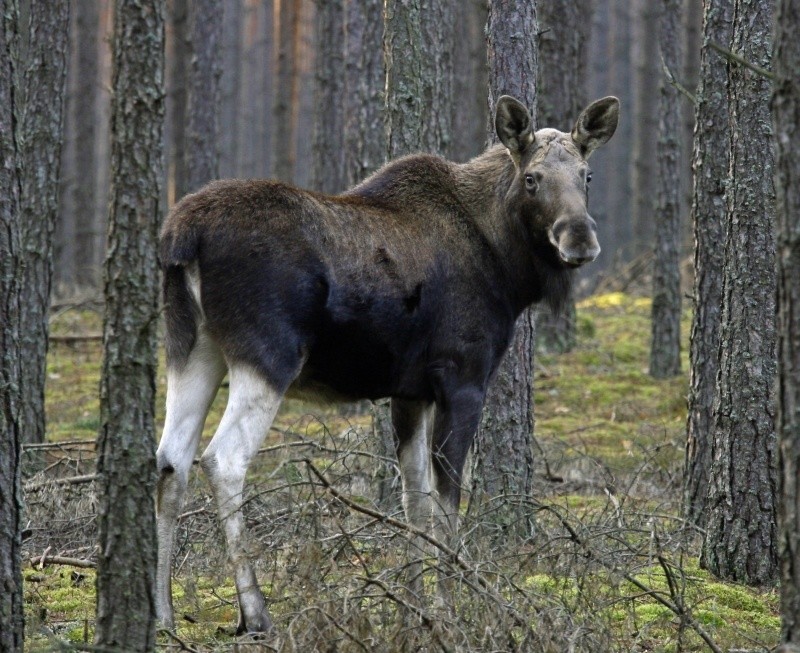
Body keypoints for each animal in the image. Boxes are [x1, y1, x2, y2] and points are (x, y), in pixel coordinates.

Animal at [156, 95, 620, 632]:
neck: (505, 264)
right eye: (532, 178)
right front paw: (448, 608)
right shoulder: (463, 379)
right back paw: (255, 614)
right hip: (268, 355)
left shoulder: (409, 391)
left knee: (170, 461)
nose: (580, 240)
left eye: (587, 175)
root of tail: (183, 235)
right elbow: (447, 504)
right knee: (223, 459)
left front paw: (413, 606)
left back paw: (162, 614)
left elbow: (413, 500)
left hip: (191, 347)